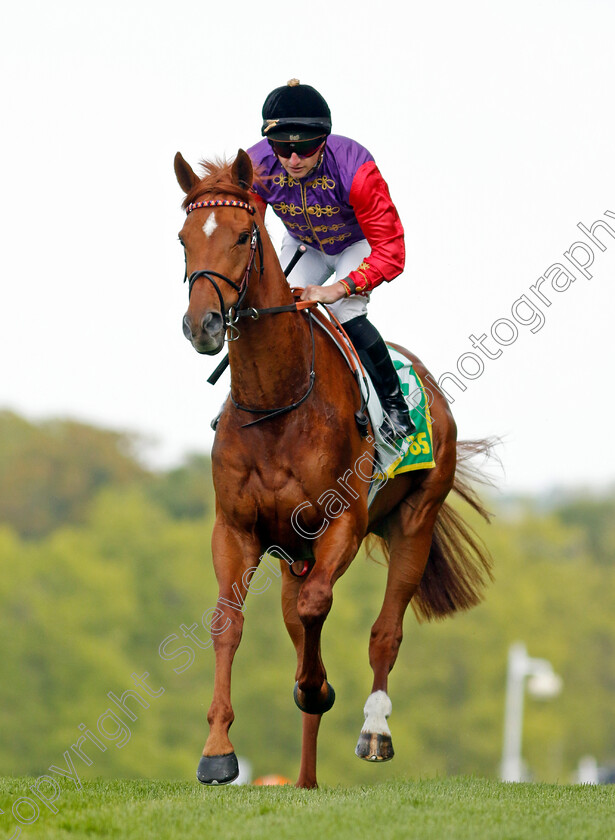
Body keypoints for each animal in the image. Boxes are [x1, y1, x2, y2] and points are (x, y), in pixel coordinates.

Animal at [176, 149, 494, 788]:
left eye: (244, 235)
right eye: (182, 240)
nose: (204, 326)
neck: (277, 401)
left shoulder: (342, 523)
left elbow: (318, 610)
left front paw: (317, 687)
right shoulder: (237, 529)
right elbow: (230, 623)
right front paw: (217, 750)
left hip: (415, 521)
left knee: (384, 632)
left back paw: (374, 730)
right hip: (292, 553)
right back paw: (304, 779)